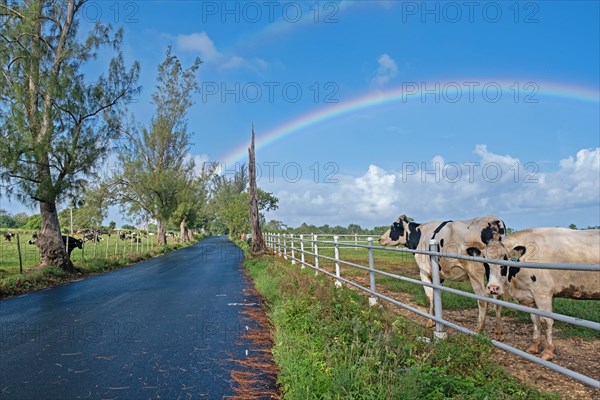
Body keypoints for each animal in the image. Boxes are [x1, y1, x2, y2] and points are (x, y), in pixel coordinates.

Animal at [474, 227, 600, 360]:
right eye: (485, 263)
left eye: (505, 259)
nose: (493, 288)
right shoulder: (531, 296)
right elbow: (535, 320)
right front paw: (533, 347)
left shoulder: (543, 293)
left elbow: (546, 321)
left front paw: (548, 352)